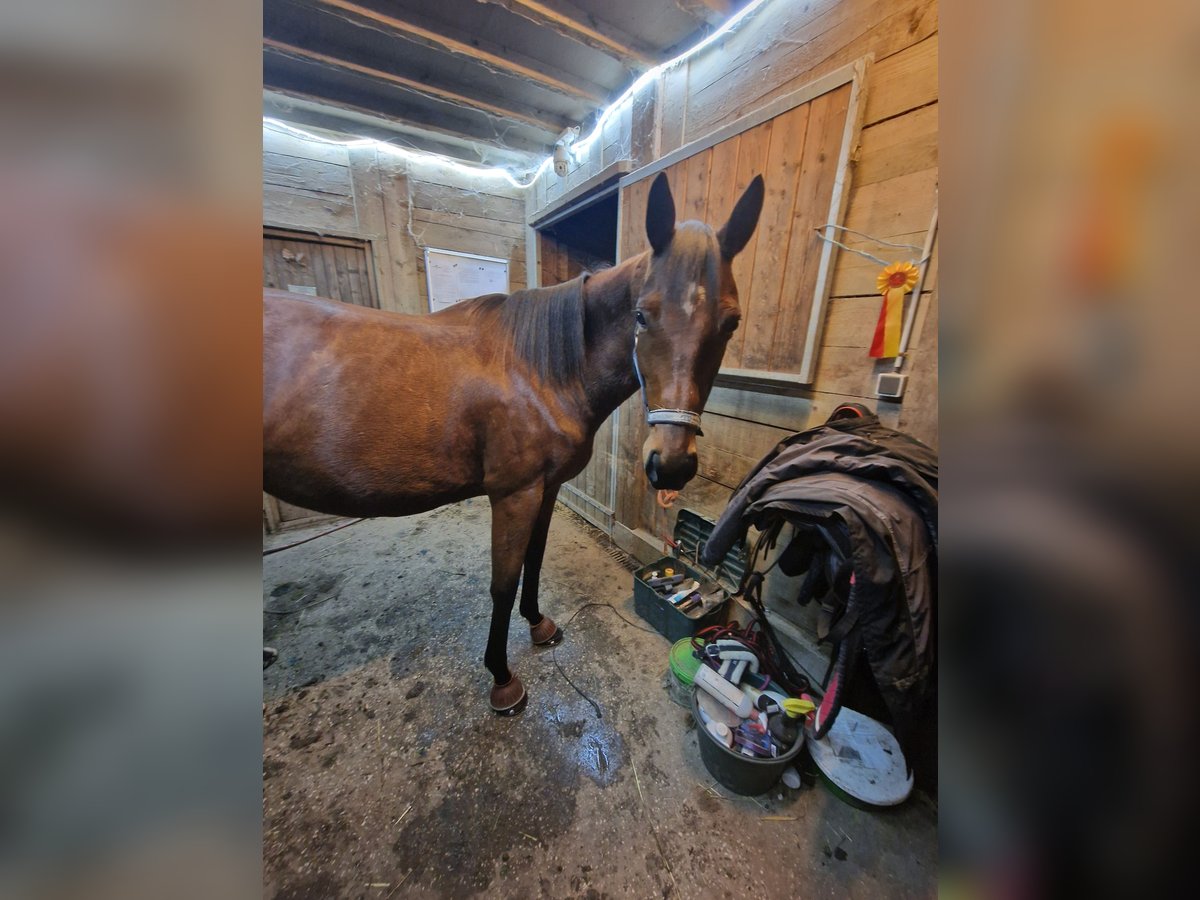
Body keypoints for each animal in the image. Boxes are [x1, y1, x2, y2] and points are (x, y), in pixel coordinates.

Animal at [263, 172, 764, 715]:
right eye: (641, 316)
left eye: (731, 322)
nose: (670, 465)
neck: (536, 369)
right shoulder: (513, 495)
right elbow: (503, 584)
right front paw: (501, 677)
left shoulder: (545, 490)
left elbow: (534, 559)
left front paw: (539, 624)